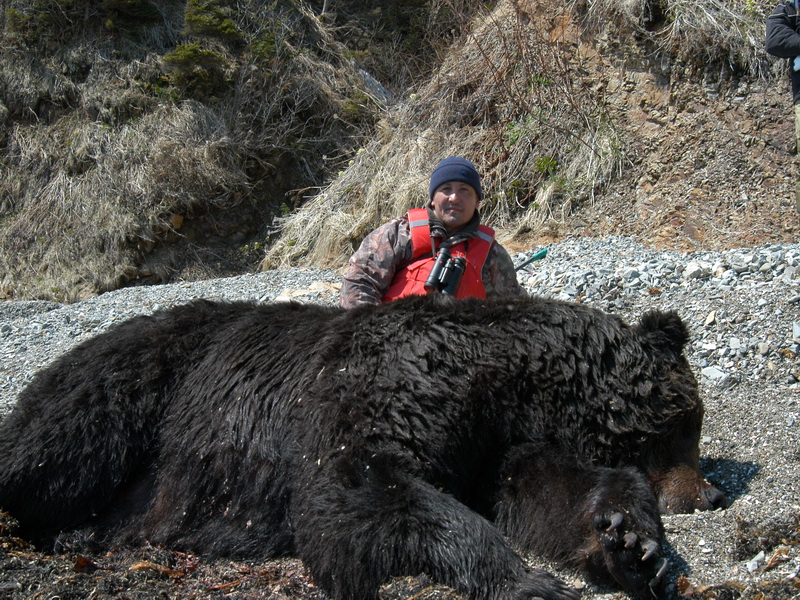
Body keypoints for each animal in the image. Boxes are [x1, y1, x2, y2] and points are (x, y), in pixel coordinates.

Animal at [0, 296, 724, 600]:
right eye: (687, 422)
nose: (710, 492)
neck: (502, 373)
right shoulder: (389, 379)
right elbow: (355, 486)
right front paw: (525, 579)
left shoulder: (496, 440)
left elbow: (544, 490)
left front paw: (632, 543)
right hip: (133, 385)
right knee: (53, 448)